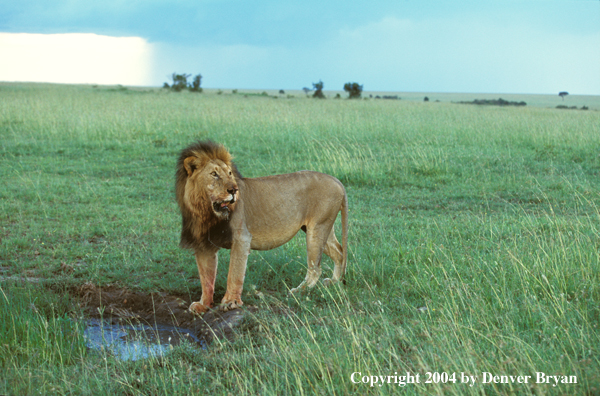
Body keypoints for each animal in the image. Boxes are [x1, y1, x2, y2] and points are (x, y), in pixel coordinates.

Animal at [176, 141, 350, 314]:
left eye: (230, 173)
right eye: (214, 174)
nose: (234, 190)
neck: (206, 213)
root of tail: (336, 180)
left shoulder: (242, 238)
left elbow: (234, 272)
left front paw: (231, 302)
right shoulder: (203, 245)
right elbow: (206, 278)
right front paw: (203, 305)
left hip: (317, 229)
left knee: (316, 268)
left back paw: (299, 291)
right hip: (321, 227)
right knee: (339, 252)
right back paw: (334, 282)